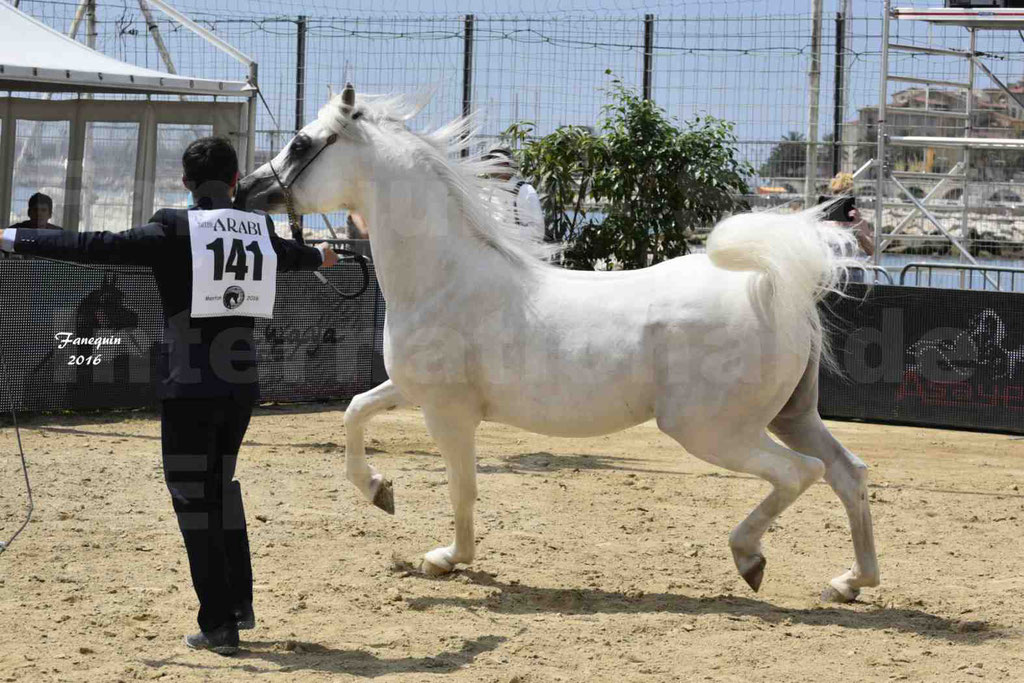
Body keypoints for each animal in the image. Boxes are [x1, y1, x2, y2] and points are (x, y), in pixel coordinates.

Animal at [237, 85, 880, 602]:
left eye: (301, 143)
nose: (246, 188)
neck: (446, 275)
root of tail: (775, 287)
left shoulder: (448, 413)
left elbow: (463, 489)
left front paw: (446, 559)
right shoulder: (412, 389)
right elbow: (353, 411)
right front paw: (380, 492)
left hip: (712, 430)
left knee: (799, 474)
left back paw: (750, 558)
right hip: (790, 416)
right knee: (848, 472)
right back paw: (850, 582)